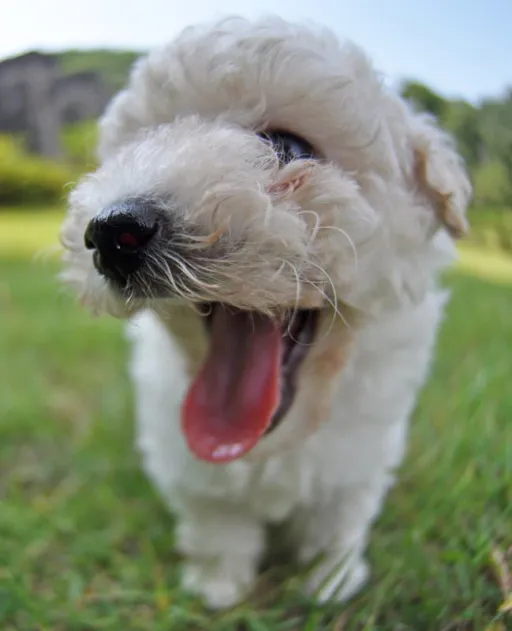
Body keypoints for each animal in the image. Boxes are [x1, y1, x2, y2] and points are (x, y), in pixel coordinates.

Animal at [59, 16, 468, 612]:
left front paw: (331, 582)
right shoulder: (192, 466)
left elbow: (336, 518)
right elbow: (217, 520)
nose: (114, 230)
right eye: (138, 146)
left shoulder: (359, 453)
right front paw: (217, 585)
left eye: (287, 146)